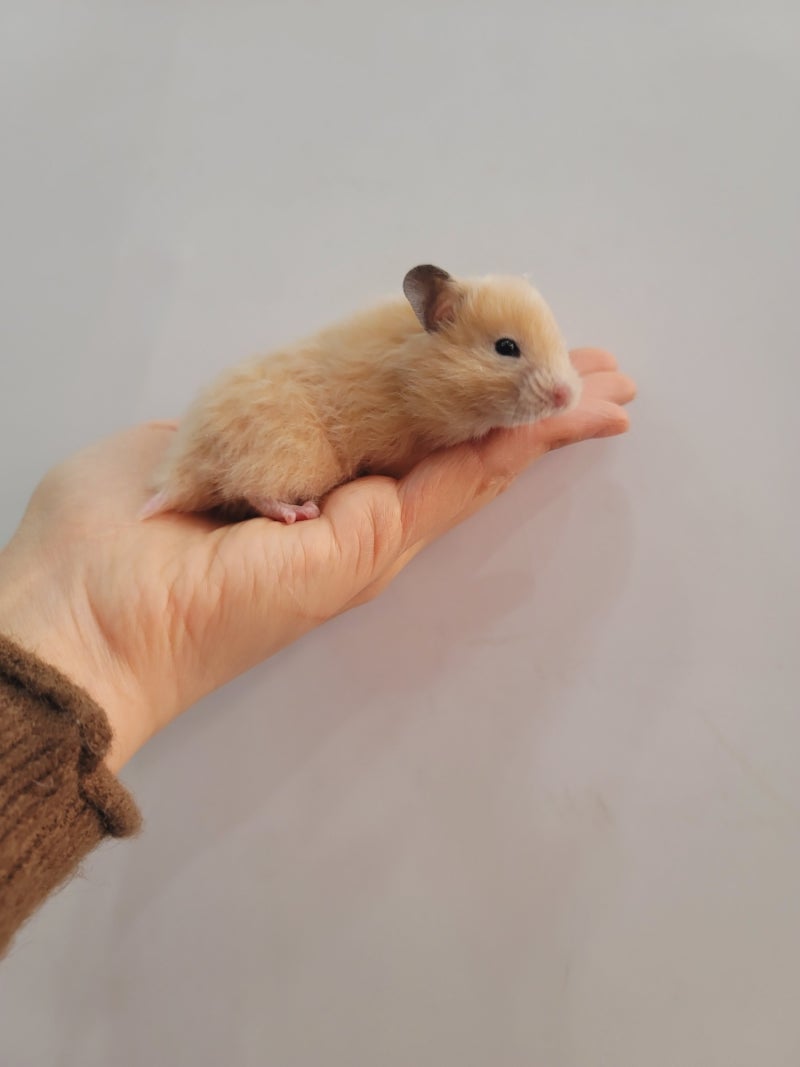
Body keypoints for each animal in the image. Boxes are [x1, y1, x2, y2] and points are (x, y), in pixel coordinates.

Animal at [142, 264, 582, 523]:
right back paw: (298, 512)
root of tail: (188, 465)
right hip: (292, 451)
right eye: (506, 347)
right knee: (254, 488)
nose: (568, 396)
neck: (413, 372)